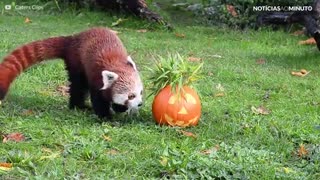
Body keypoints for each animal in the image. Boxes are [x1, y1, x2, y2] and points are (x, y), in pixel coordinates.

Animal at [0, 27, 144, 118]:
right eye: (131, 95)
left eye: (141, 92)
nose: (140, 103)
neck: (115, 64)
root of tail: (73, 38)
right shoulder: (96, 78)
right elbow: (98, 99)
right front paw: (105, 116)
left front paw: (119, 108)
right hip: (77, 63)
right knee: (78, 87)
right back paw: (78, 106)